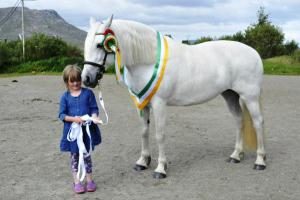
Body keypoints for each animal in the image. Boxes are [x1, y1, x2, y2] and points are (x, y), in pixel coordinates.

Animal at [81, 15, 264, 178]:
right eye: (86, 45)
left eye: (99, 45)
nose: (87, 79)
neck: (149, 60)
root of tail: (254, 53)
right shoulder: (142, 103)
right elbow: (144, 131)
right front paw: (143, 162)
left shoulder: (159, 103)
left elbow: (160, 134)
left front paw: (161, 169)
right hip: (230, 95)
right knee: (239, 121)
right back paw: (236, 156)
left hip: (250, 97)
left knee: (258, 123)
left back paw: (260, 161)